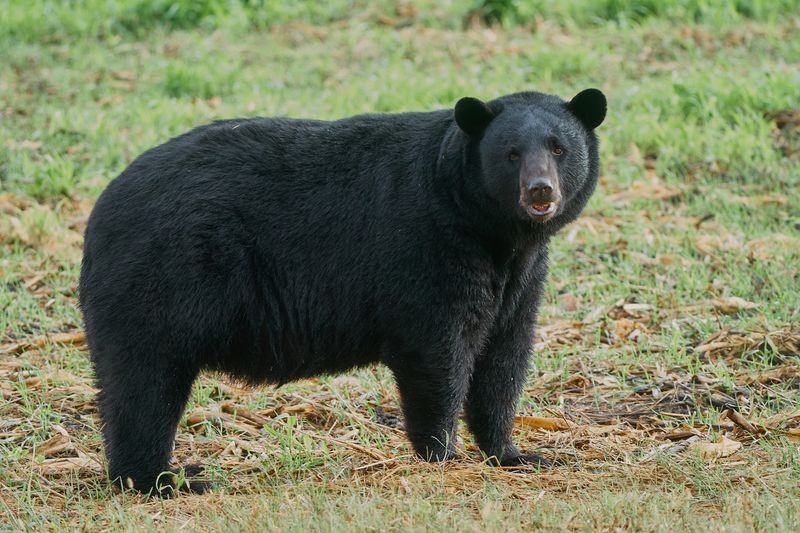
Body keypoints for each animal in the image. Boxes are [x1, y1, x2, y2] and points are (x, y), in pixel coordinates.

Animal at [79, 88, 606, 495]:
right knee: (144, 386)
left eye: (558, 148)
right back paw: (163, 480)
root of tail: (100, 211)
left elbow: (504, 357)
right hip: (159, 282)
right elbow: (437, 352)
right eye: (511, 153)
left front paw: (515, 453)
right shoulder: (428, 252)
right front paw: (440, 451)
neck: (493, 233)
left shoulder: (520, 277)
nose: (540, 191)